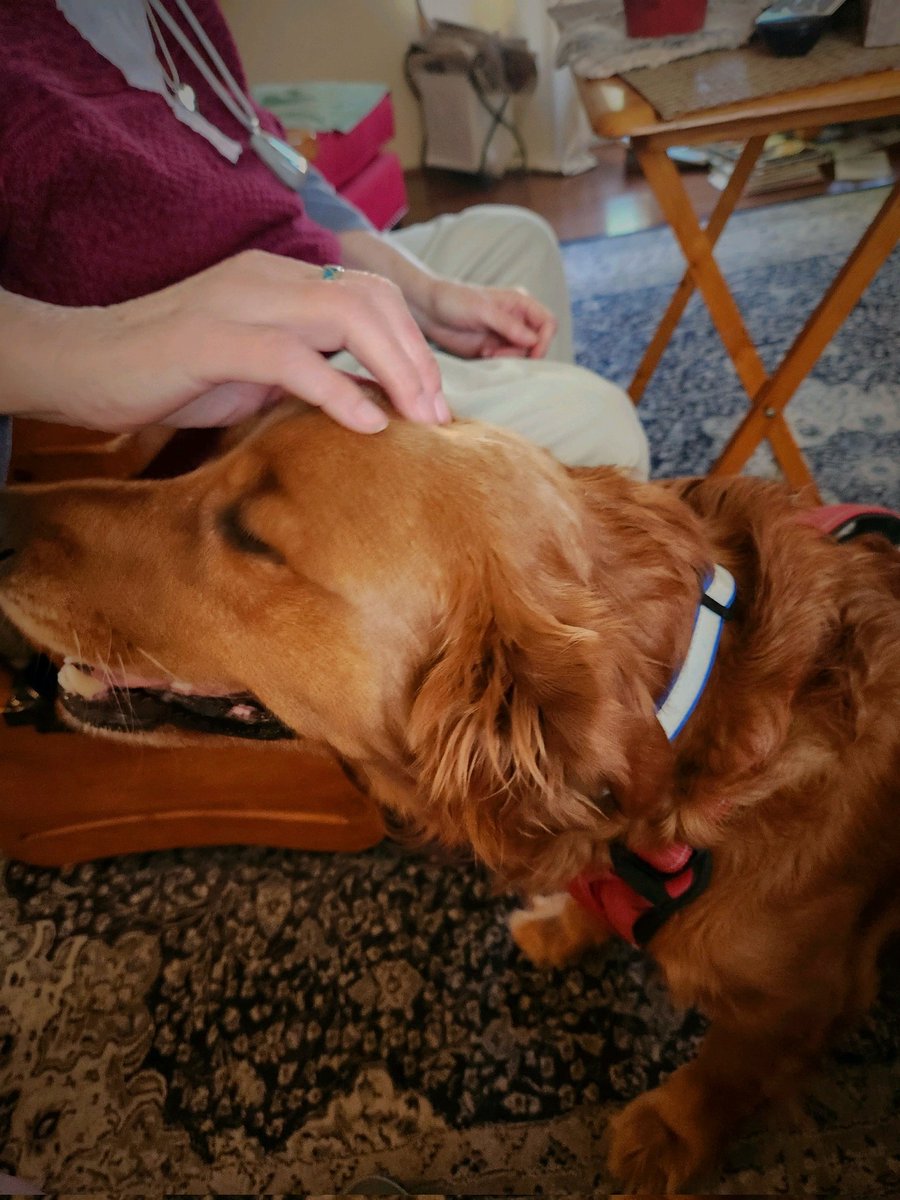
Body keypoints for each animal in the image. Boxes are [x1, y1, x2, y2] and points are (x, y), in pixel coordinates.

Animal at [1, 396, 900, 1190]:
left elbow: (725, 1068)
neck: (689, 714)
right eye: (208, 454)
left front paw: (671, 1132)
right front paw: (567, 923)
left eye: (250, 535)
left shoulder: (799, 996)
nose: (1, 513)